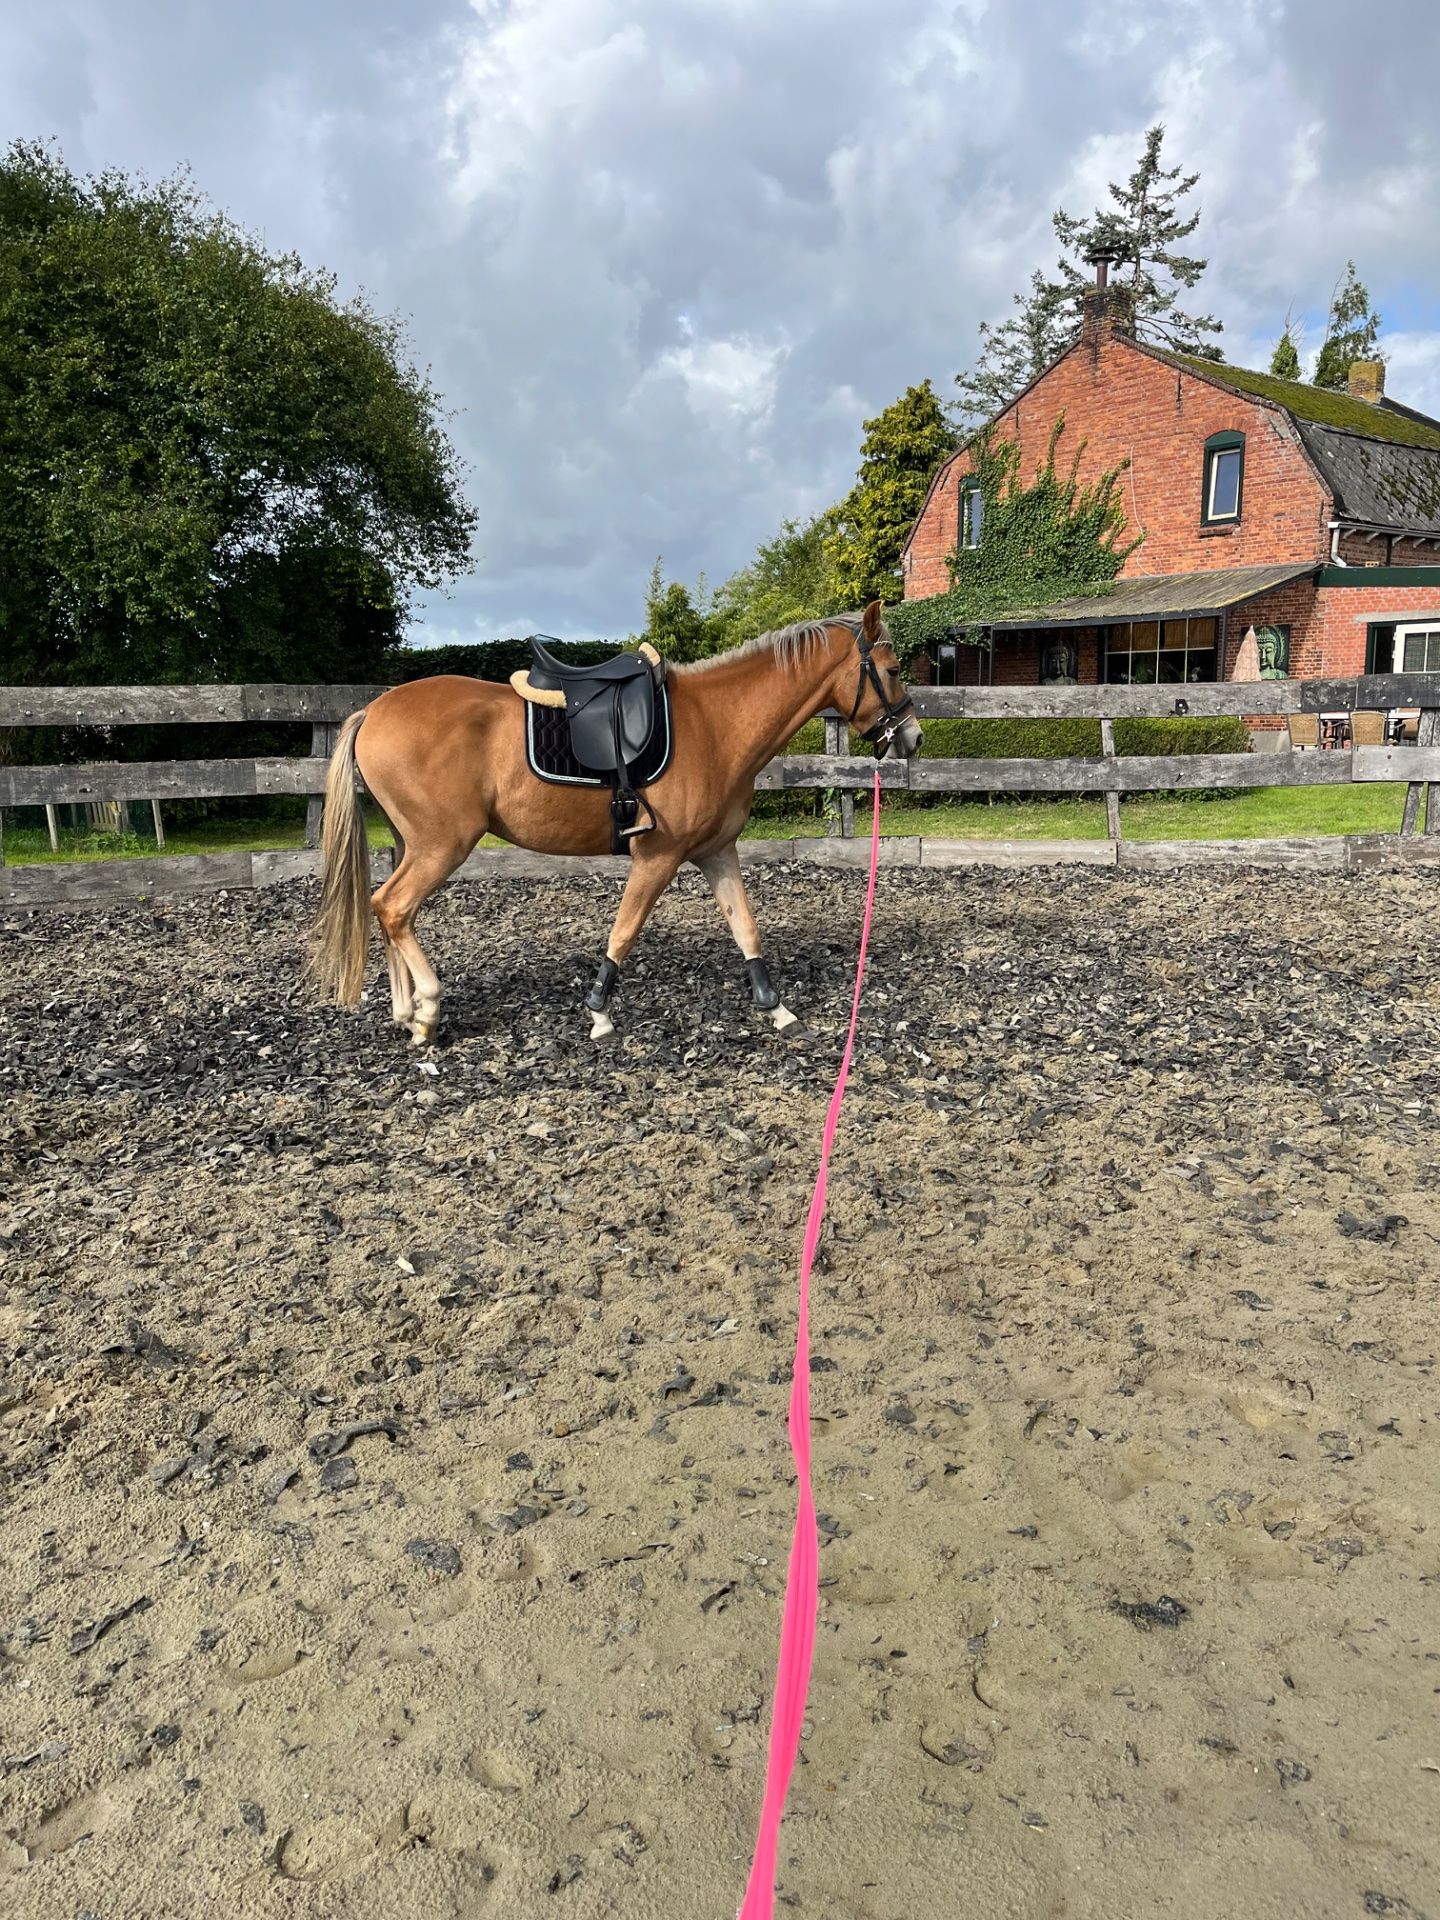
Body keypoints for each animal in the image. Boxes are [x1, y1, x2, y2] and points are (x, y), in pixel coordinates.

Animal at [307, 599, 921, 1044]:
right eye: (892, 670)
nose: (913, 738)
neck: (716, 725)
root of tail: (372, 711)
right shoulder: (658, 857)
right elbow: (624, 930)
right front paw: (600, 1012)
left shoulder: (717, 852)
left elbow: (746, 927)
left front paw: (778, 1008)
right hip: (442, 845)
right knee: (393, 907)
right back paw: (429, 1009)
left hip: (414, 844)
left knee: (387, 908)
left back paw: (408, 1013)